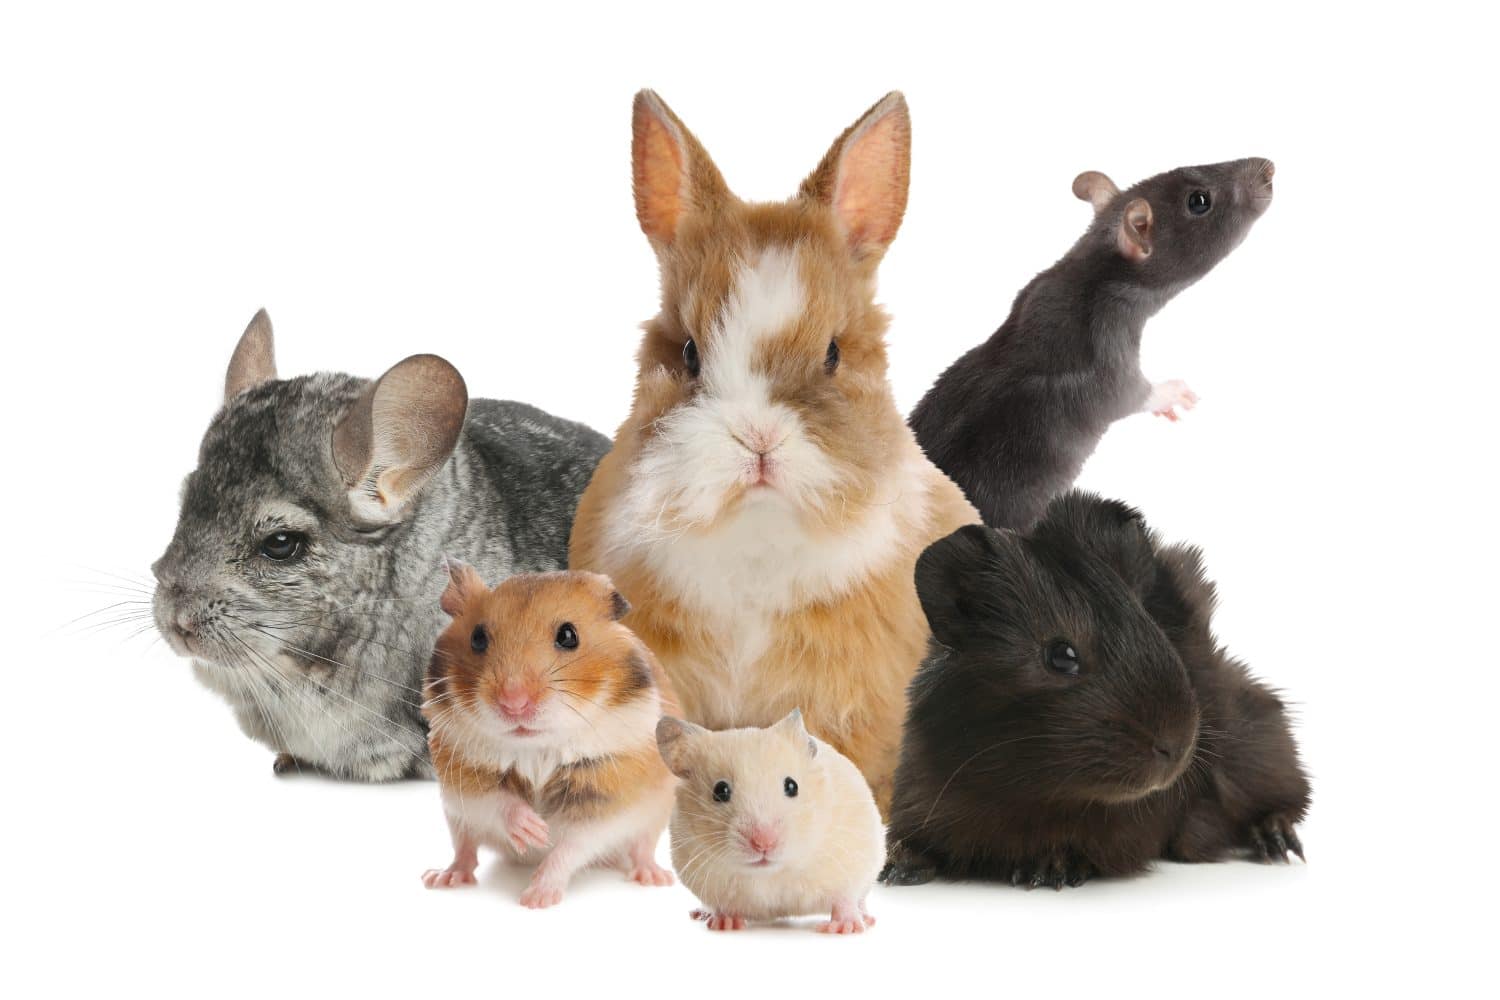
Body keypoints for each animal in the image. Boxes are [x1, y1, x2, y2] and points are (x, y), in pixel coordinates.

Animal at [421, 565, 677, 908]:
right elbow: (497, 802)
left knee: (642, 848)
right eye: (477, 637)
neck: (535, 748)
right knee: (465, 849)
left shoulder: (607, 794)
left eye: (568, 636)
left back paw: (654, 877)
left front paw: (536, 898)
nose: (514, 703)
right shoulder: (462, 775)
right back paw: (443, 877)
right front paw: (534, 831)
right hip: (454, 817)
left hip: (655, 814)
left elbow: (572, 846)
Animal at [656, 711, 884, 933]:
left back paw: (867, 919)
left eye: (792, 786)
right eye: (720, 791)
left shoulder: (851, 862)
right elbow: (722, 905)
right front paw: (725, 924)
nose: (763, 843)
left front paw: (844, 928)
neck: (771, 872)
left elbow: (844, 900)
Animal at [881, 491, 1311, 888]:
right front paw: (897, 870)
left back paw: (1278, 845)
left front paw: (1048, 870)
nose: (1177, 748)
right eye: (1061, 655)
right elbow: (911, 843)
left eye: (1156, 631)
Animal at [909, 159, 1275, 532]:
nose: (1269, 168)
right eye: (1199, 202)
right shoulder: (1106, 340)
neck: (1093, 268)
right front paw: (1170, 392)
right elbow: (1123, 392)